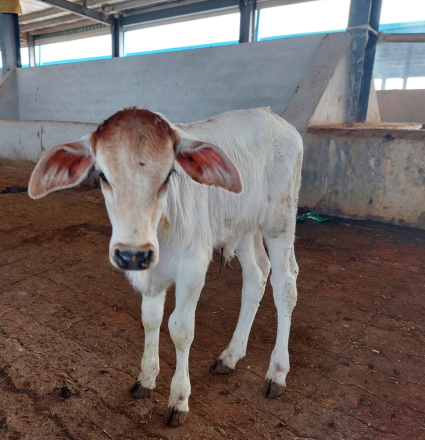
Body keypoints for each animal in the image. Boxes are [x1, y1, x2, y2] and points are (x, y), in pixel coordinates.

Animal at [28, 106, 302, 426]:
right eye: (102, 175)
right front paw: (146, 378)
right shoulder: (149, 273)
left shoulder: (193, 268)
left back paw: (277, 372)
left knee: (285, 285)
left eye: (170, 174)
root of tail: (272, 117)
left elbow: (180, 328)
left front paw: (179, 399)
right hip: (243, 226)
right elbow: (150, 319)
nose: (131, 254)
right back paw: (231, 356)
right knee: (256, 275)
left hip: (280, 221)